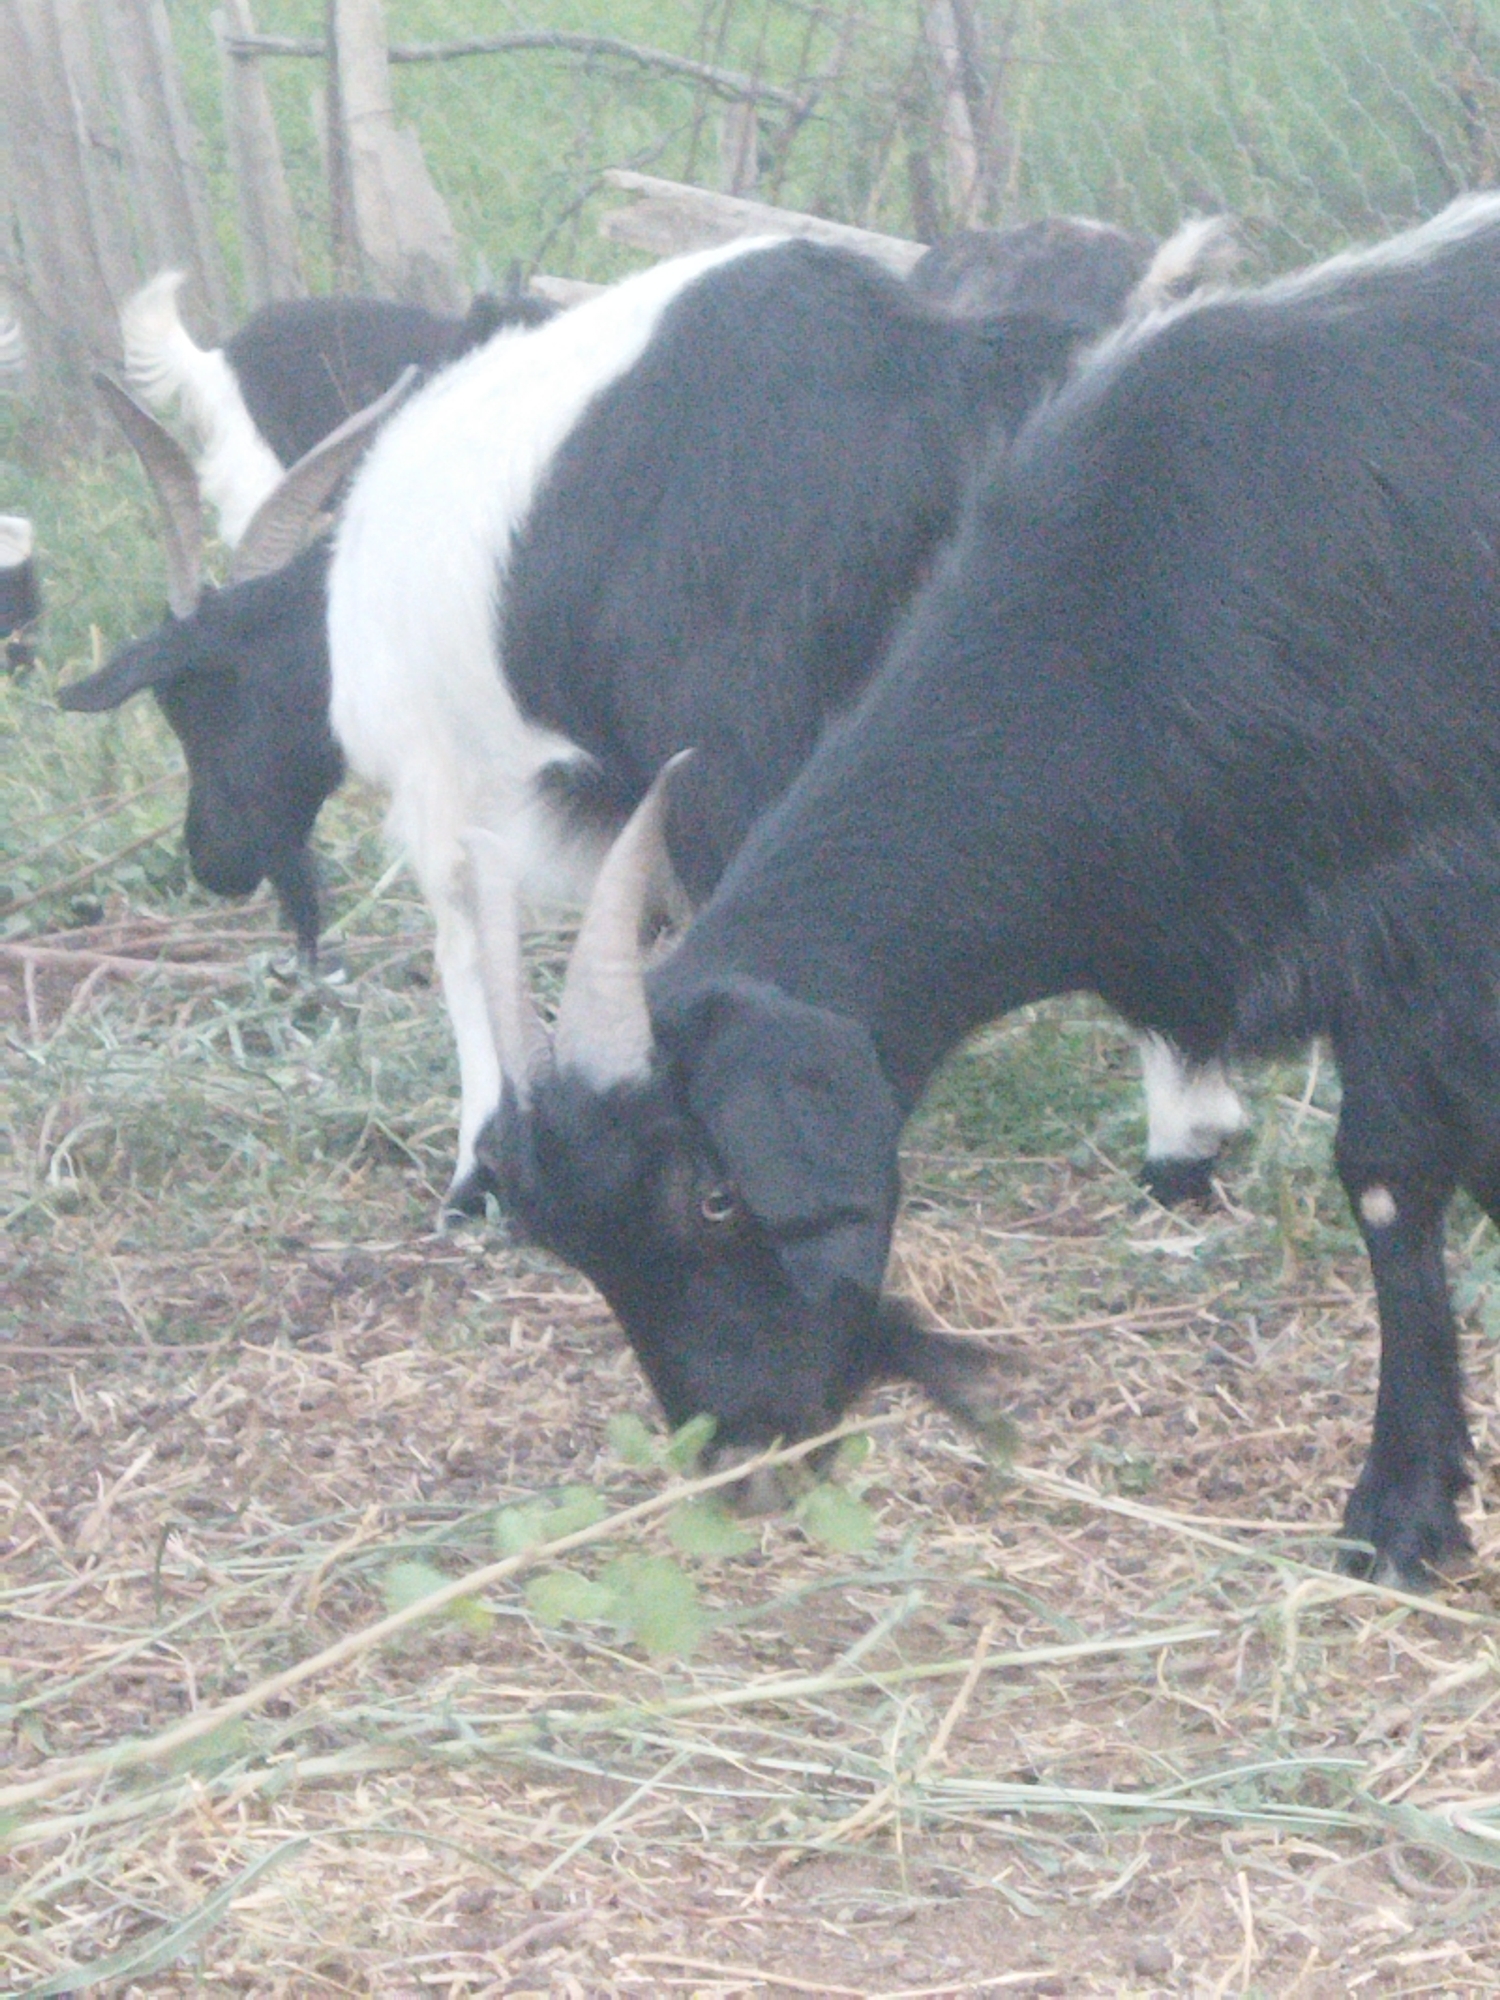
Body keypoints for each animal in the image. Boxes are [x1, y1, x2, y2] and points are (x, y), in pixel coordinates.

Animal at [475, 194, 1500, 1590]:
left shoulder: (1424, 912)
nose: (744, 1448)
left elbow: (1395, 1178)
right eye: (582, 1251)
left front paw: (1399, 1505)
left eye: (717, 1193)